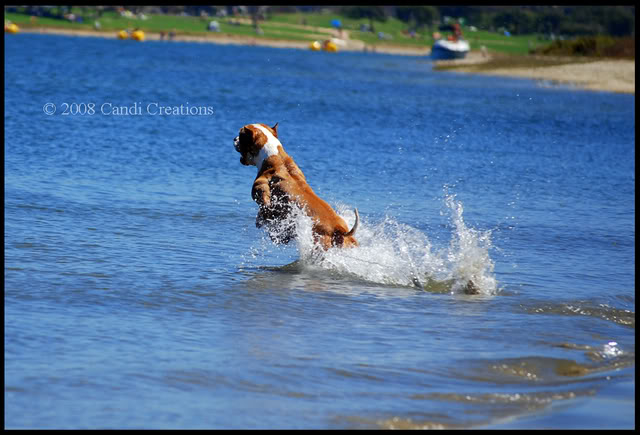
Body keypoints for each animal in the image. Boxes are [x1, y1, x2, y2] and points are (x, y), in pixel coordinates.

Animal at [234, 123, 358, 252]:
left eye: (240, 135)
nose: (234, 139)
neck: (273, 155)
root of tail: (339, 229)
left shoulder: (261, 189)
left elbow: (264, 203)